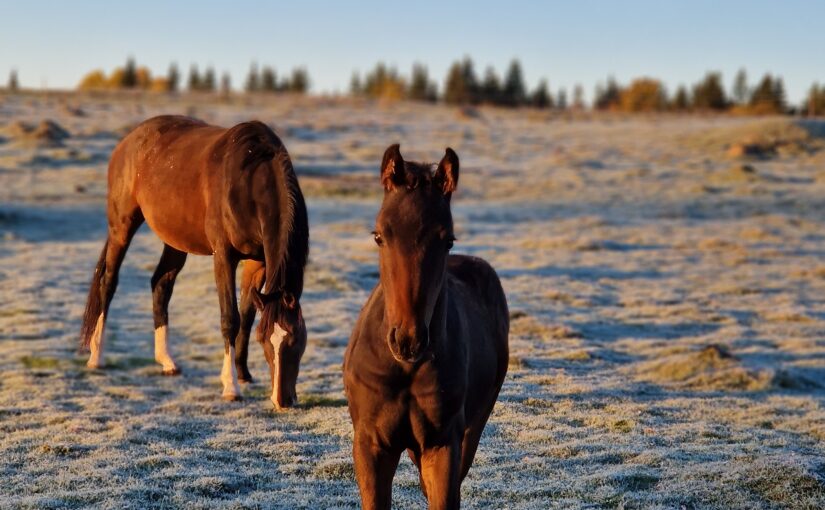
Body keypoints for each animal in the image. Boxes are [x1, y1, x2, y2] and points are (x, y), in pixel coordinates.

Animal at [79, 114, 308, 406]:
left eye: (295, 339)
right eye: (266, 341)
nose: (282, 400)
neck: (249, 182)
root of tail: (129, 139)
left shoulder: (259, 262)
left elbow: (247, 314)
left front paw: (243, 373)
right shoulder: (224, 256)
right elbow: (230, 318)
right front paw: (231, 386)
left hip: (175, 239)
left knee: (161, 284)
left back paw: (167, 361)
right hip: (122, 227)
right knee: (108, 283)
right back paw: (97, 357)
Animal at [342, 144, 508, 510]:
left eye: (448, 240)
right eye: (379, 236)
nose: (408, 340)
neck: (403, 370)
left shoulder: (442, 445)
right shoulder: (371, 447)